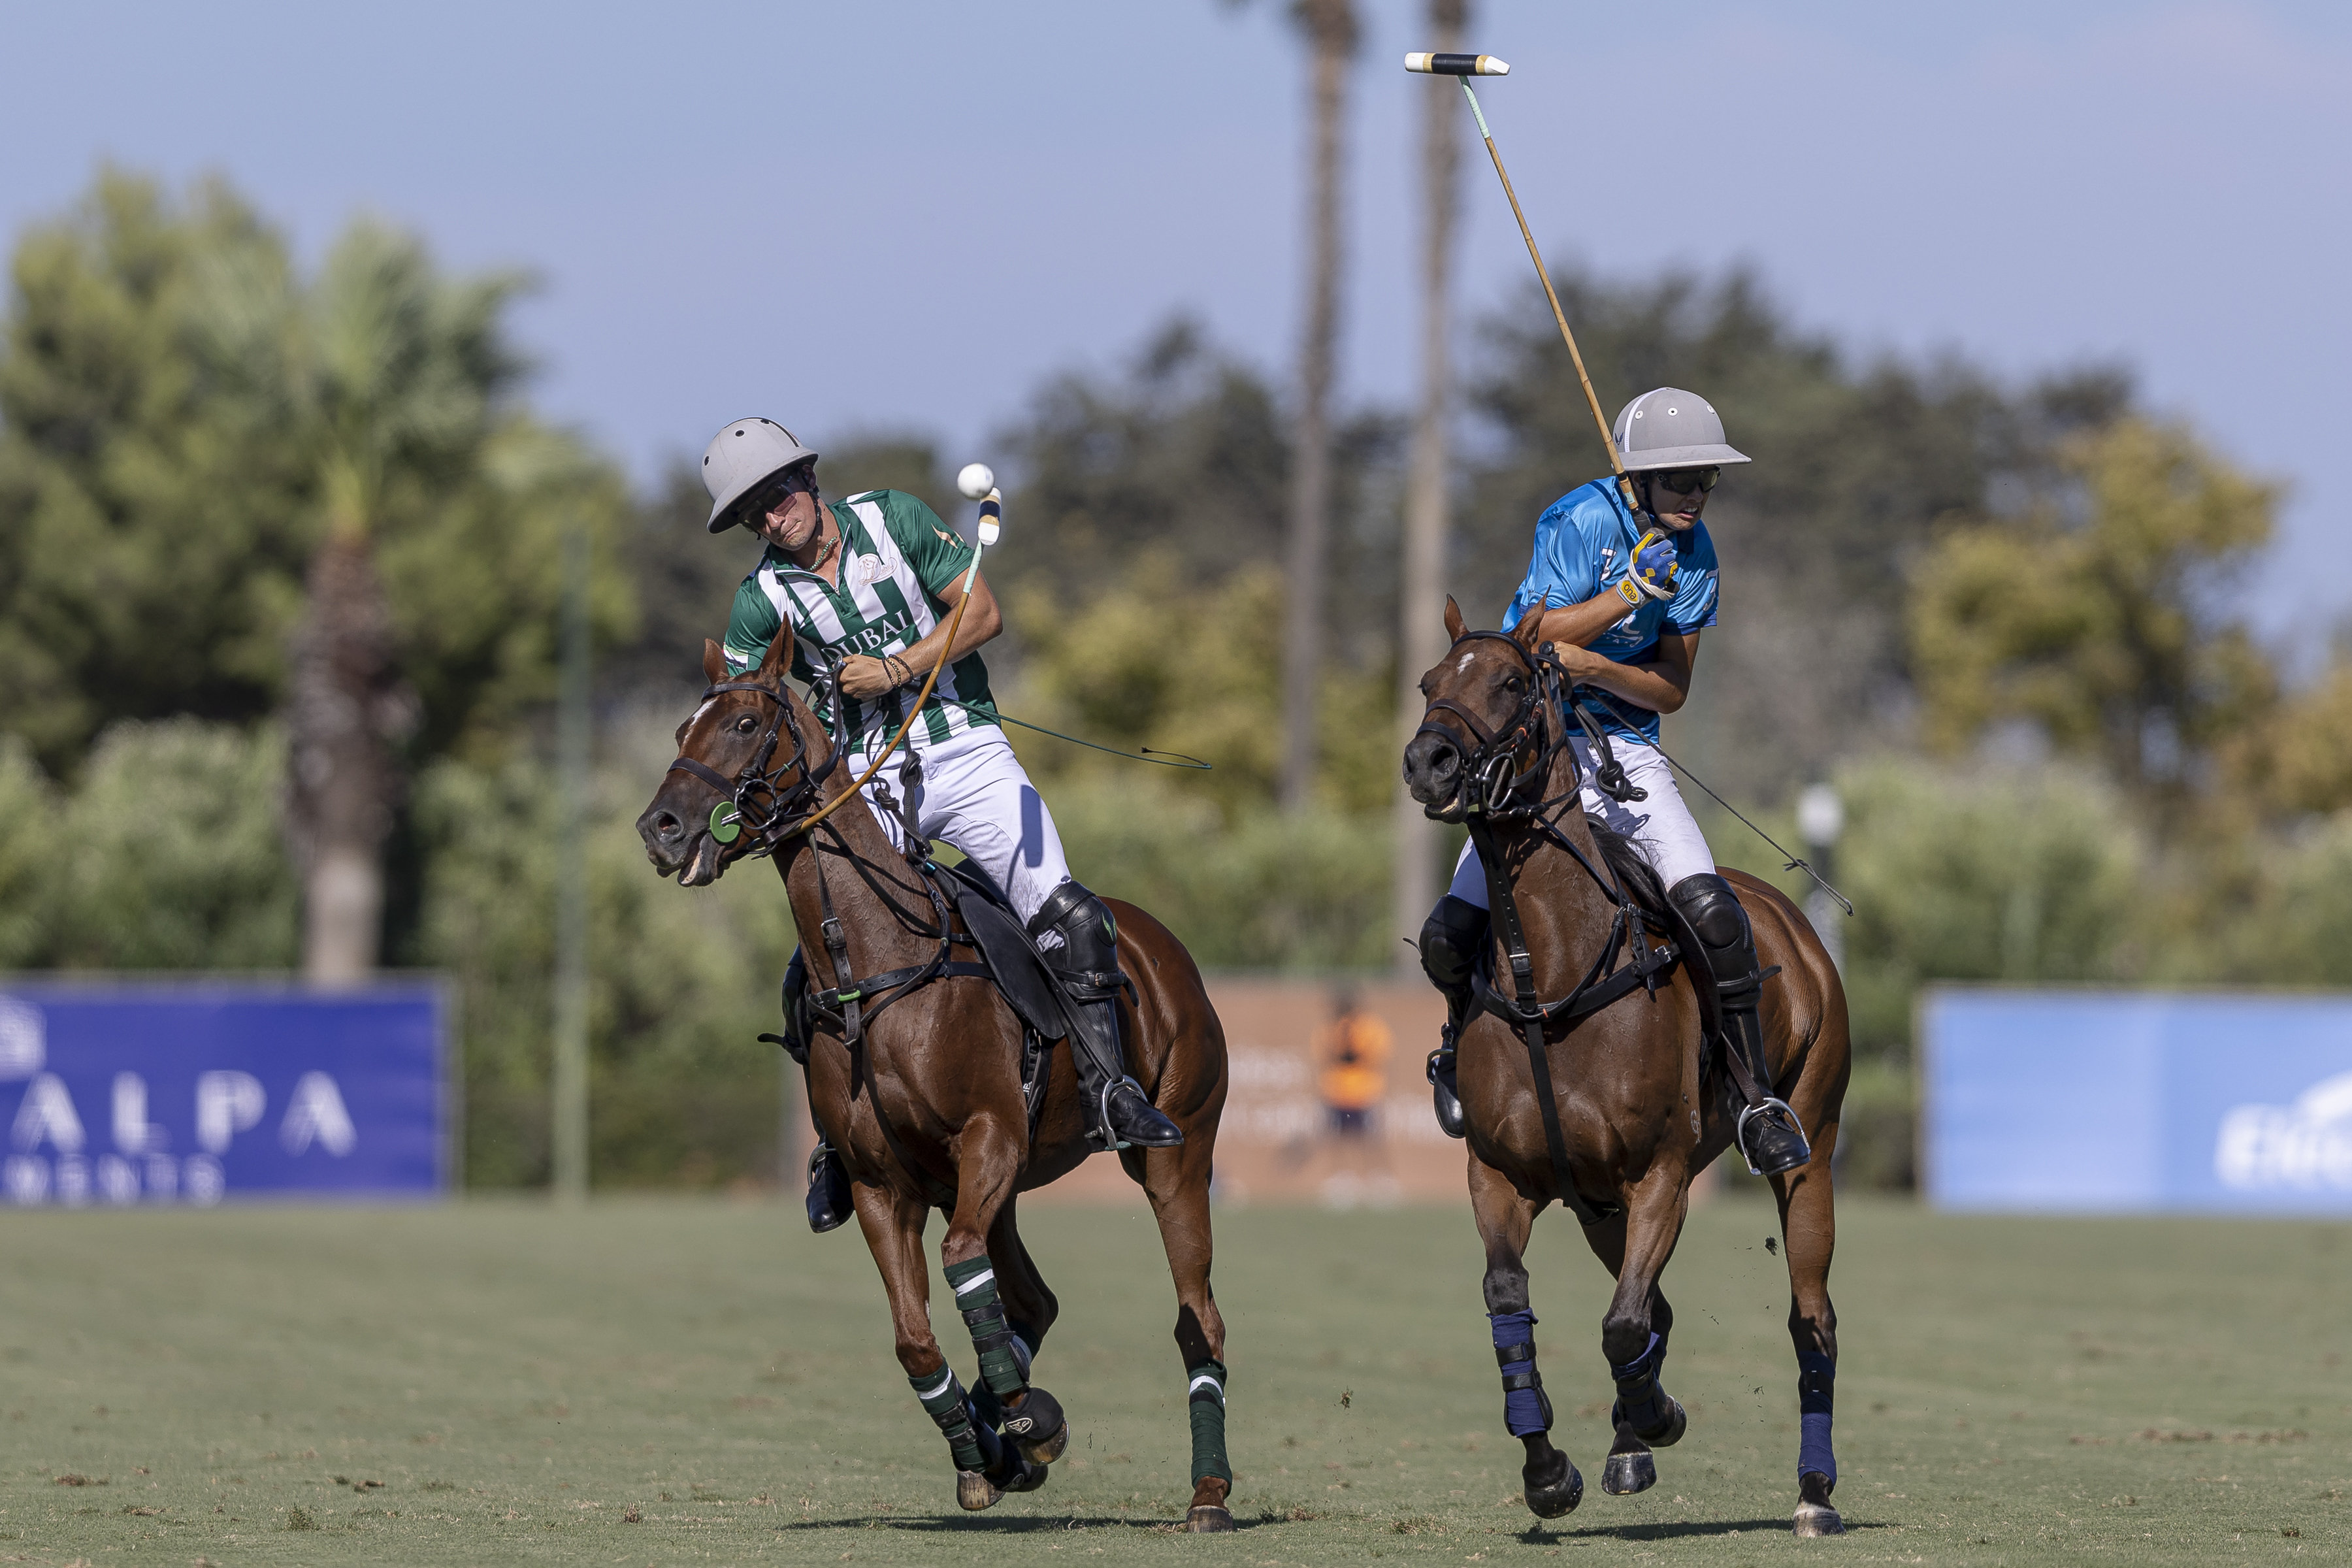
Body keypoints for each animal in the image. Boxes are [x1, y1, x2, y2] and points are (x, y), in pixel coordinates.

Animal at [635, 630, 1241, 1523]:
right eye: (684, 728)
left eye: (745, 724)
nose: (662, 829)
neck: (877, 965)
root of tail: (1164, 946)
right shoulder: (882, 1181)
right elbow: (915, 1338)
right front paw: (989, 1445)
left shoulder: (988, 1136)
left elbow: (958, 1266)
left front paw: (1025, 1417)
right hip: (1006, 1183)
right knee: (1032, 1300)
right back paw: (1009, 1443)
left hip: (1176, 1155)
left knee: (1198, 1316)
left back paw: (1207, 1491)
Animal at [1401, 596, 1844, 1533]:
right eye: (1428, 683)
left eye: (1511, 682)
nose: (1428, 761)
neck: (1552, 974)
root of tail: (1790, 915)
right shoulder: (1501, 1175)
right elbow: (1513, 1304)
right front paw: (1549, 1472)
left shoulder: (1661, 1175)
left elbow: (1620, 1327)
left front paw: (1657, 1416)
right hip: (1595, 1204)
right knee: (1655, 1309)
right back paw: (1630, 1445)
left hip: (1812, 1148)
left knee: (1811, 1317)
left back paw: (1814, 1493)